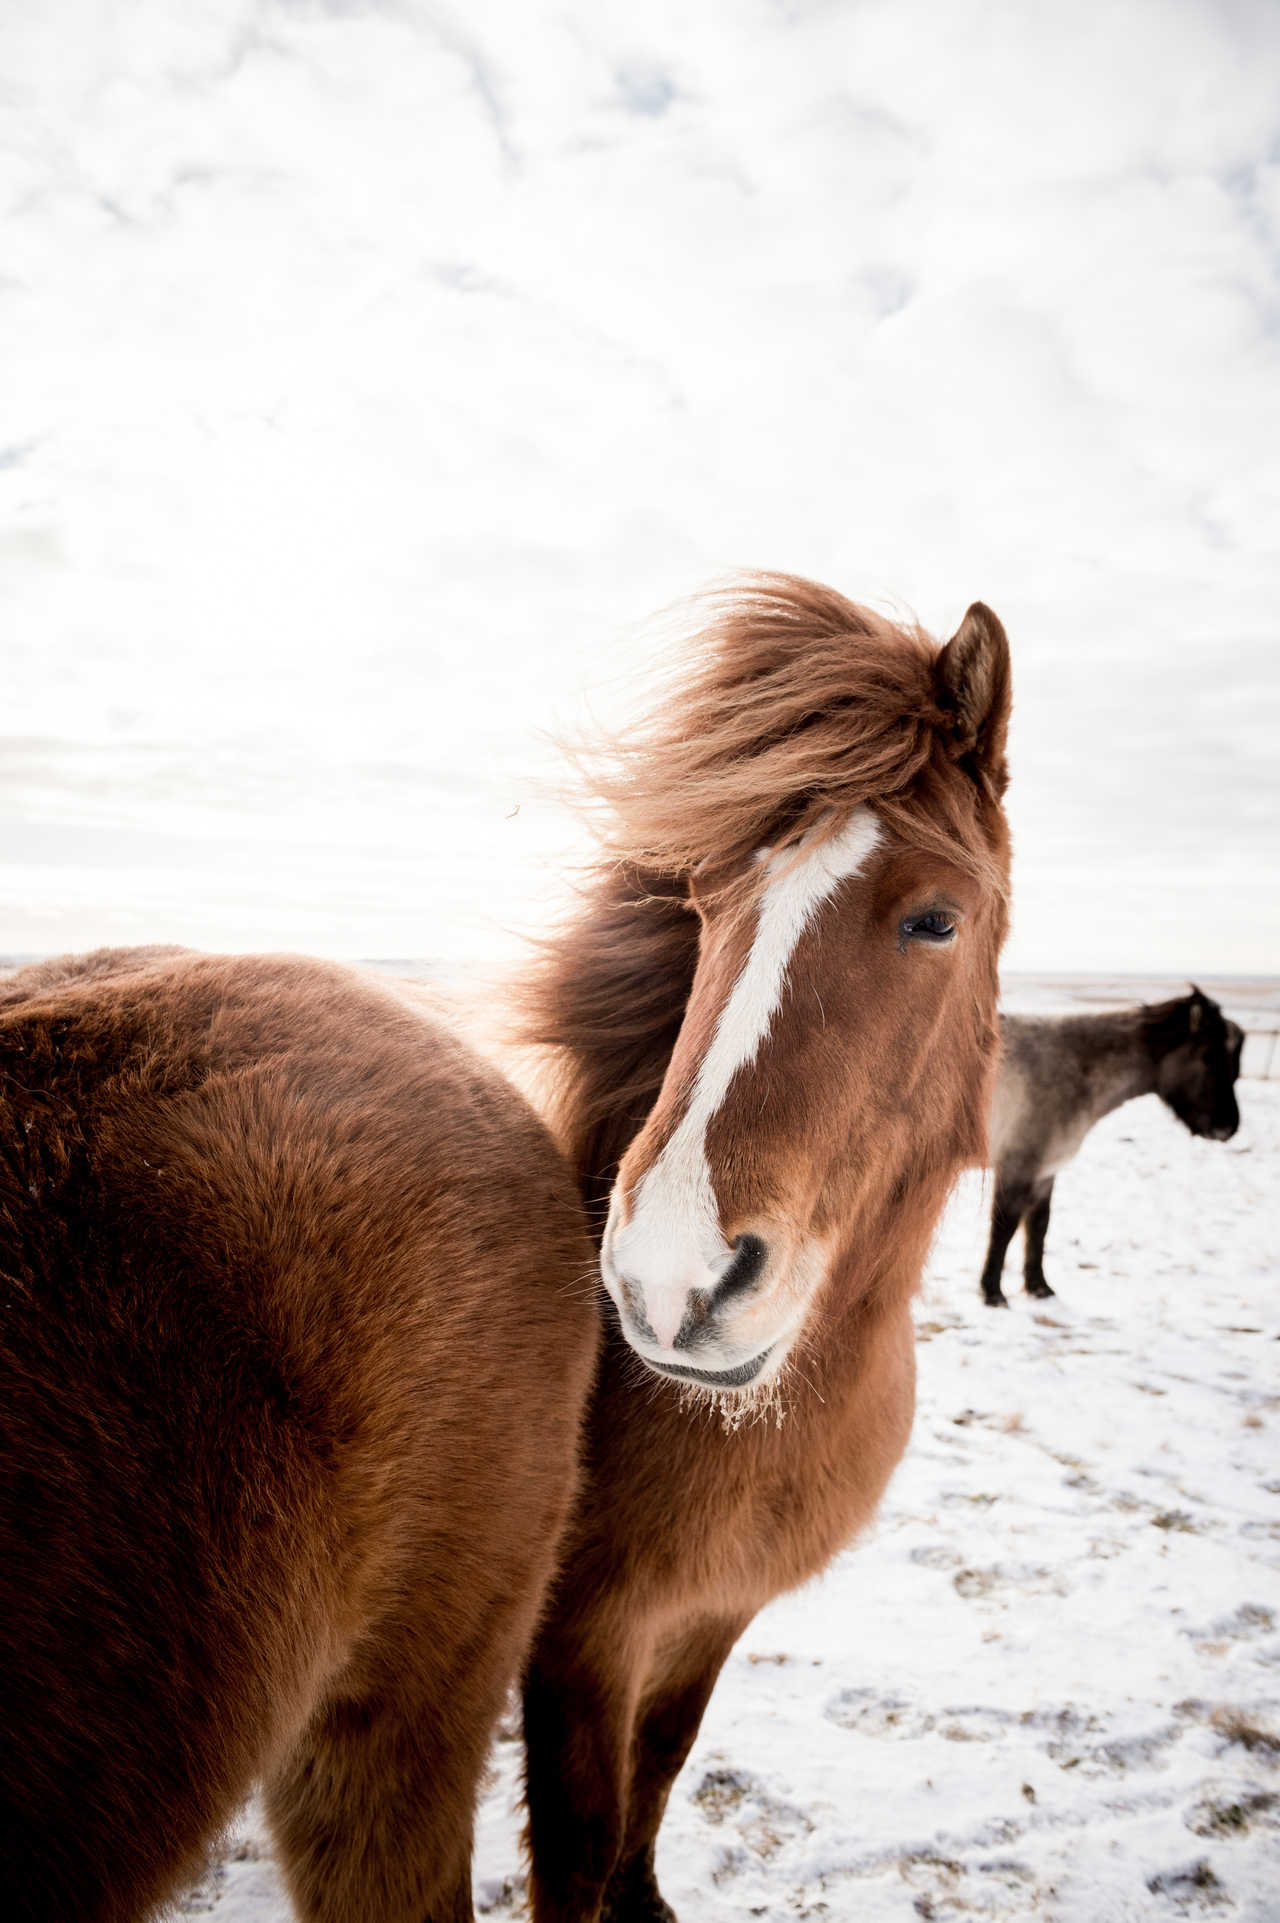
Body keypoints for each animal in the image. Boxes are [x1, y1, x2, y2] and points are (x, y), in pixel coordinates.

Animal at [510, 574, 1014, 1923]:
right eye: (700, 901)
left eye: (934, 919)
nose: (668, 1283)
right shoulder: (576, 1639)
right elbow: (577, 1844)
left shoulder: (711, 1614)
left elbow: (661, 1767)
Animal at [977, 987, 1243, 1307]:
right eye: (1209, 1056)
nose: (1228, 1127)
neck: (1071, 1068)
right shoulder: (1018, 1168)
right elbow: (1003, 1229)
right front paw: (993, 1293)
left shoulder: (1045, 1173)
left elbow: (1039, 1227)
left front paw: (1039, 1287)